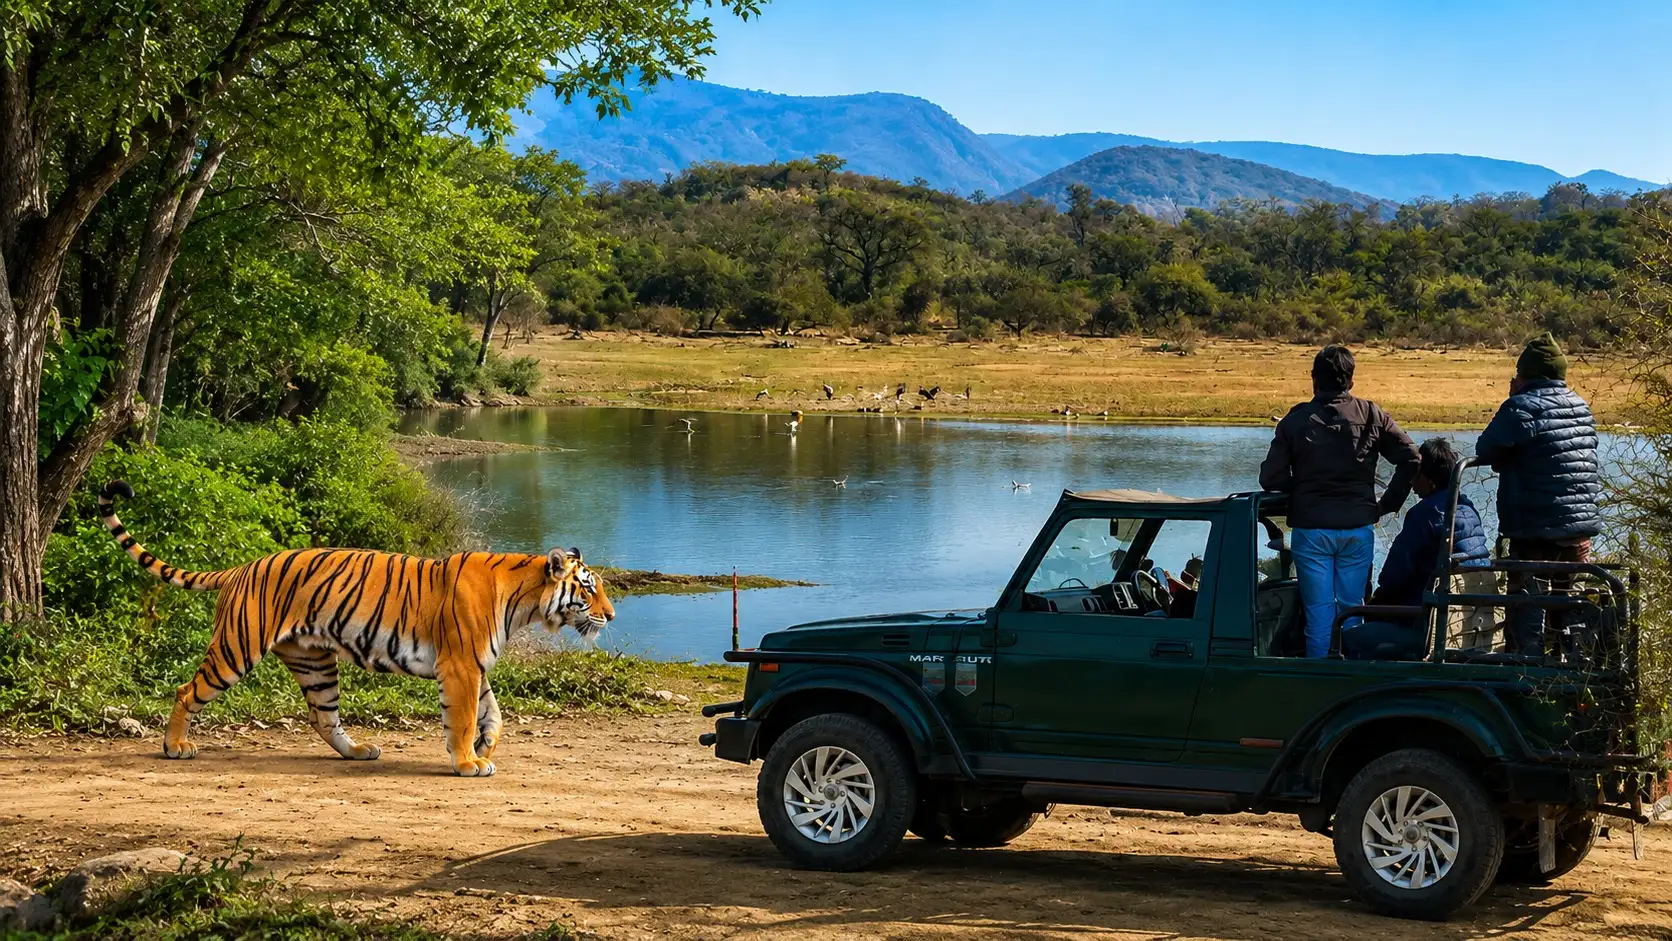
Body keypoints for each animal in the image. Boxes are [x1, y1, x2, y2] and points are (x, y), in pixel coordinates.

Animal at [98, 479, 615, 776]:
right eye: (589, 589)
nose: (611, 616)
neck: (524, 601)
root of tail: (242, 566)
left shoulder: (474, 665)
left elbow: (494, 713)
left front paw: (485, 746)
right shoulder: (461, 666)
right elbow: (465, 716)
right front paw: (469, 762)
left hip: (314, 662)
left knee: (323, 717)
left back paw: (360, 751)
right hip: (236, 648)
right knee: (187, 689)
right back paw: (175, 746)